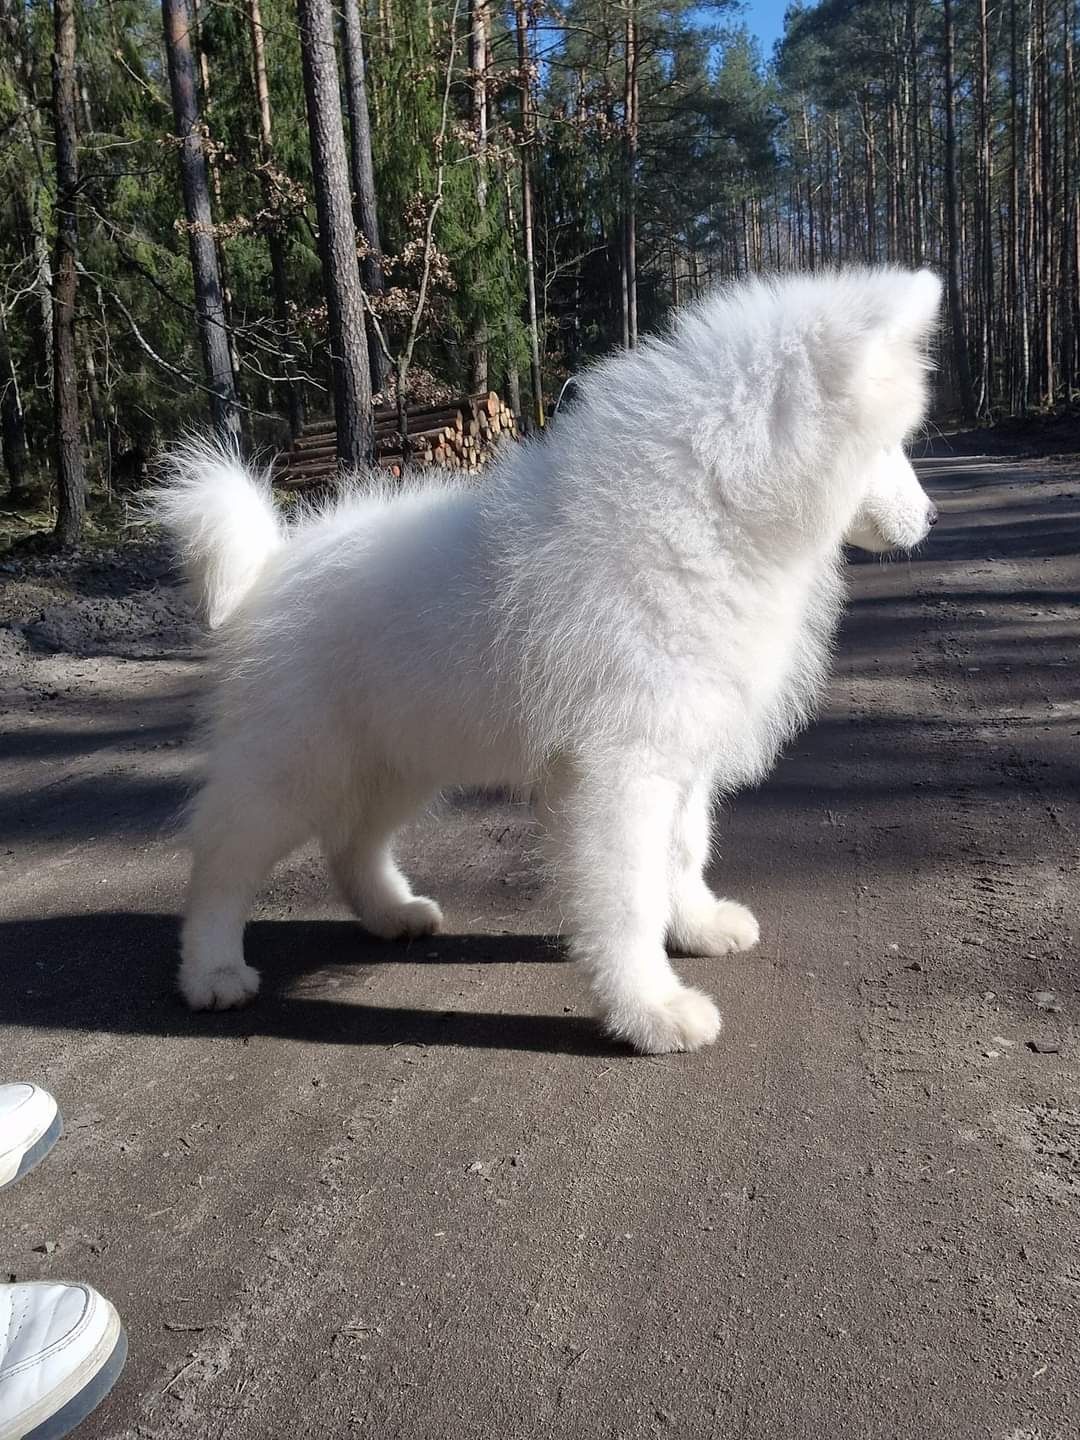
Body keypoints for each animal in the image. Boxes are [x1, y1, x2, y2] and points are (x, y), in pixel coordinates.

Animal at [156, 270, 944, 1054]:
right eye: (891, 446)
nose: (933, 517)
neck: (710, 511)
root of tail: (272, 563)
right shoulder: (622, 770)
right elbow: (629, 896)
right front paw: (651, 1009)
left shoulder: (678, 750)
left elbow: (684, 853)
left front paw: (695, 927)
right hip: (298, 763)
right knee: (222, 859)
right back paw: (213, 973)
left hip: (399, 756)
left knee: (352, 844)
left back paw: (392, 913)